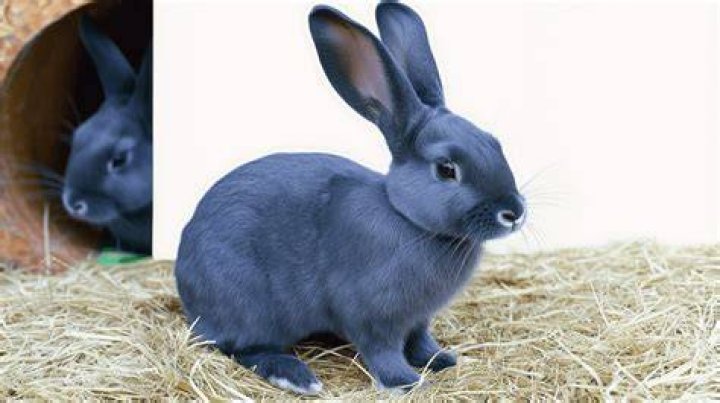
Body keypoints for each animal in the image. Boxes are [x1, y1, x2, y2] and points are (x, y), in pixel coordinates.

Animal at [175, 1, 525, 395]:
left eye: (494, 142)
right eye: (446, 169)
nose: (514, 212)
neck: (406, 217)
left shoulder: (419, 318)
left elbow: (420, 340)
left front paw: (442, 360)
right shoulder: (372, 315)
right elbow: (383, 350)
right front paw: (405, 381)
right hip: (249, 306)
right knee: (242, 348)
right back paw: (297, 376)